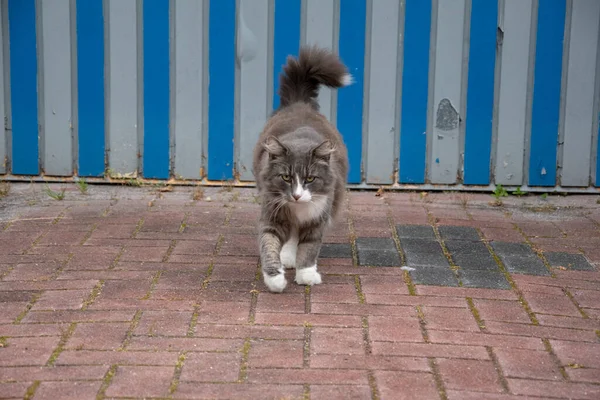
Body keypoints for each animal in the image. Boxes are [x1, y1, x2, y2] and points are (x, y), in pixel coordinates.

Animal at [252, 46, 352, 294]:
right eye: (286, 177)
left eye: (310, 178)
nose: (297, 195)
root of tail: (299, 103)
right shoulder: (272, 215)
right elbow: (269, 246)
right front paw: (275, 278)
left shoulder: (318, 218)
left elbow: (309, 248)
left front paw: (306, 274)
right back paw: (287, 256)